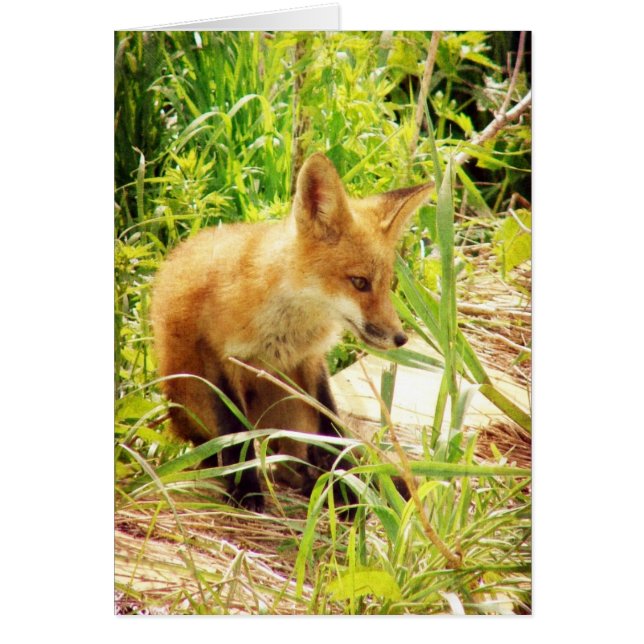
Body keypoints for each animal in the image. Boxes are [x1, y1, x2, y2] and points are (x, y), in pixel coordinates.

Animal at [151, 153, 433, 512]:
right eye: (359, 282)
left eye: (387, 285)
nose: (400, 338)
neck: (285, 329)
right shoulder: (217, 356)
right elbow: (236, 434)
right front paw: (245, 490)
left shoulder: (310, 360)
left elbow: (331, 430)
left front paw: (345, 489)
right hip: (193, 405)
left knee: (301, 454)